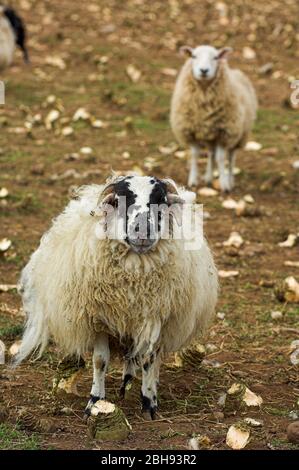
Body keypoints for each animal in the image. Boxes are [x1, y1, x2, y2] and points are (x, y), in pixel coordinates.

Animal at [16, 174, 218, 420]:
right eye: (119, 201)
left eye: (160, 200)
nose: (143, 229)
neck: (133, 279)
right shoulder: (99, 319)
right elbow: (100, 361)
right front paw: (94, 401)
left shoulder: (155, 318)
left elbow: (148, 360)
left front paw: (148, 403)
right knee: (130, 355)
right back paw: (125, 384)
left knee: (146, 358)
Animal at [171, 44, 258, 191]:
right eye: (193, 56)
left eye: (216, 57)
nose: (204, 70)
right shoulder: (191, 131)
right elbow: (195, 155)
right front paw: (193, 181)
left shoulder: (224, 133)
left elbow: (221, 159)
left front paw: (224, 185)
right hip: (210, 136)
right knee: (211, 154)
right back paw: (208, 178)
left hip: (238, 134)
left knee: (231, 157)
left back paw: (230, 180)